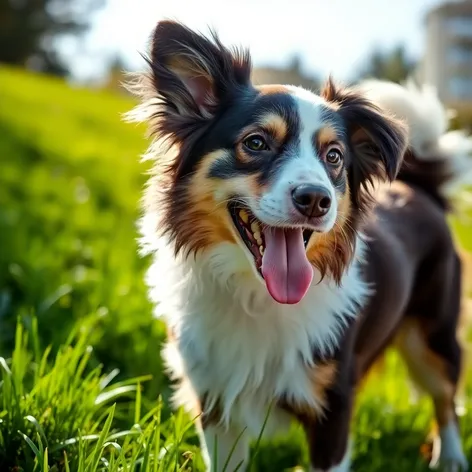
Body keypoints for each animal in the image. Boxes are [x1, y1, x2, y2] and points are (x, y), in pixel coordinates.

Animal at [127, 20, 470, 470]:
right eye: (256, 143)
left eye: (334, 156)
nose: (315, 199)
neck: (256, 296)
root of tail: (418, 187)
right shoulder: (216, 400)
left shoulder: (334, 403)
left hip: (434, 333)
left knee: (445, 396)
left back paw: (451, 457)